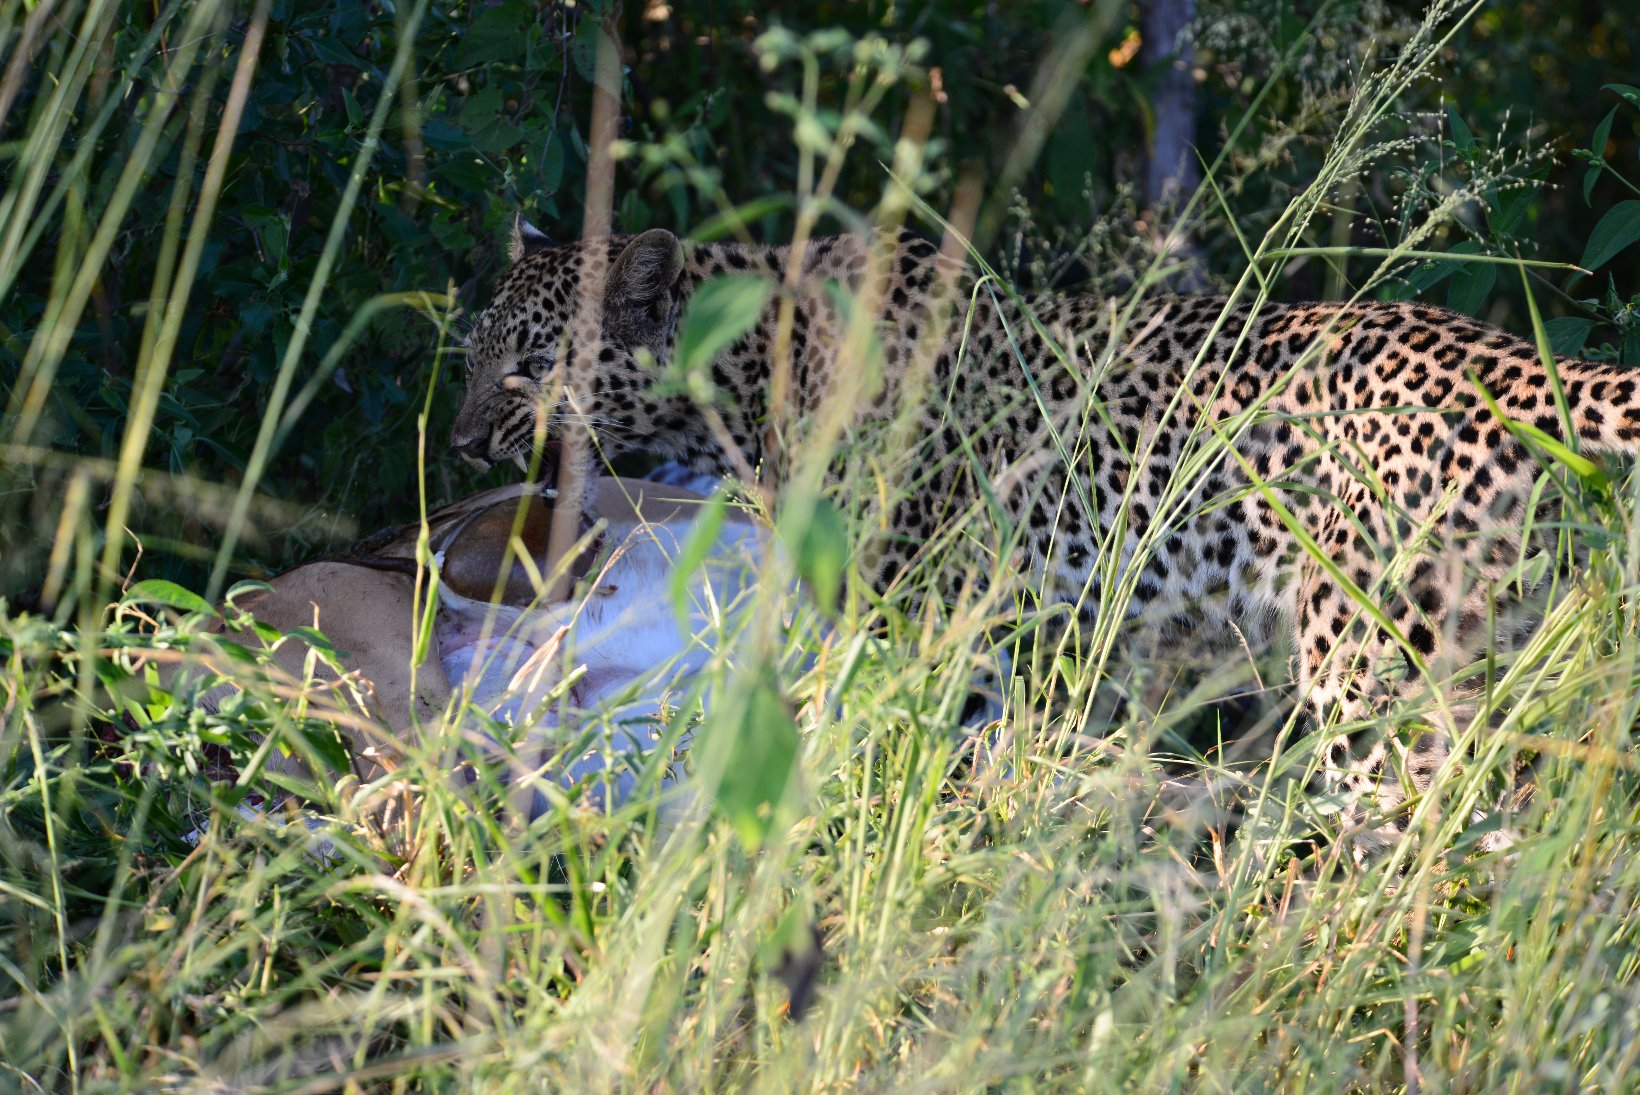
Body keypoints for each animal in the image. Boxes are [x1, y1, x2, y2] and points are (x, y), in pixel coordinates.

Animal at [451, 214, 1640, 847]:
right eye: (471, 351)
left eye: (531, 363)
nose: (460, 441)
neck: (742, 380)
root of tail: (1516, 364)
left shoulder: (929, 621)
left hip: (1378, 681)